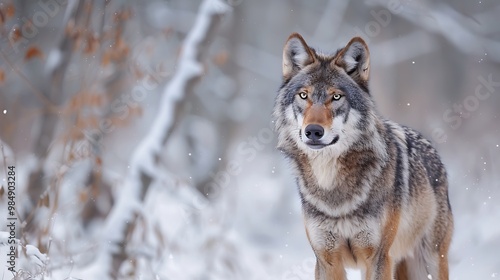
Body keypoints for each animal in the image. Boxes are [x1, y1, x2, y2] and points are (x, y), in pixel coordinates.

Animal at [274, 33, 454, 280]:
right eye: (303, 95)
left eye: (336, 97)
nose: (313, 131)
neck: (332, 188)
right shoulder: (326, 260)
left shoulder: (378, 257)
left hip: (428, 262)